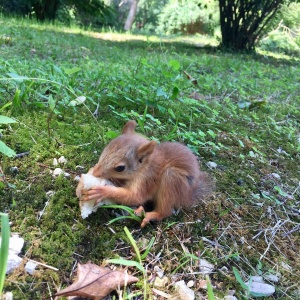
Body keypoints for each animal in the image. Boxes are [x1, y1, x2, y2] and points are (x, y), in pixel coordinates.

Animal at [77, 119, 213, 227]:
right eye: (105, 149)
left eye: (120, 168)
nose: (96, 172)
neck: (145, 166)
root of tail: (188, 195)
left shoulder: (147, 179)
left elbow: (135, 196)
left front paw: (101, 191)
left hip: (172, 179)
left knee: (165, 211)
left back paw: (150, 215)